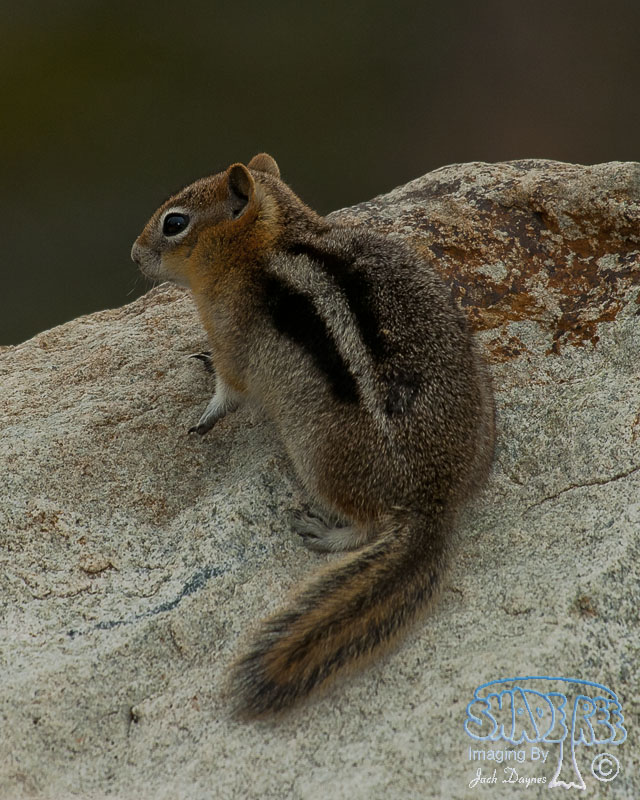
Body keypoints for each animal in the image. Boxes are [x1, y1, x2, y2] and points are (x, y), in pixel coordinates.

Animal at [131, 153, 495, 716]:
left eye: (174, 223)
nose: (133, 255)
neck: (274, 240)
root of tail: (432, 502)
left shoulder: (233, 341)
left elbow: (228, 390)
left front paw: (204, 415)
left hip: (316, 457)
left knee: (367, 526)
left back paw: (323, 532)